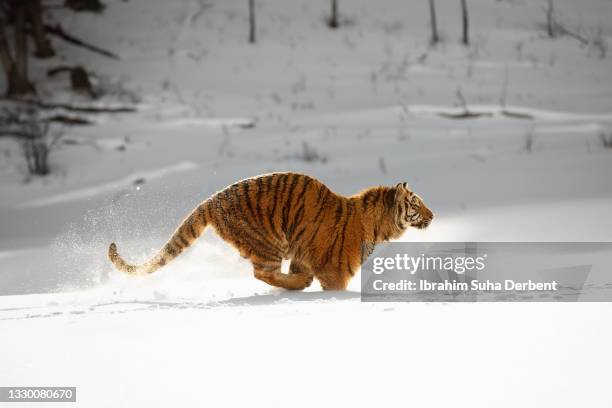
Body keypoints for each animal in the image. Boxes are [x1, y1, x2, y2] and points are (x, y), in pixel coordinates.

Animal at [110, 172, 436, 290]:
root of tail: (212, 199)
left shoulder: (305, 255)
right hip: (268, 241)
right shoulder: (335, 272)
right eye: (416, 204)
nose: (433, 216)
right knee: (262, 272)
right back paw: (298, 283)